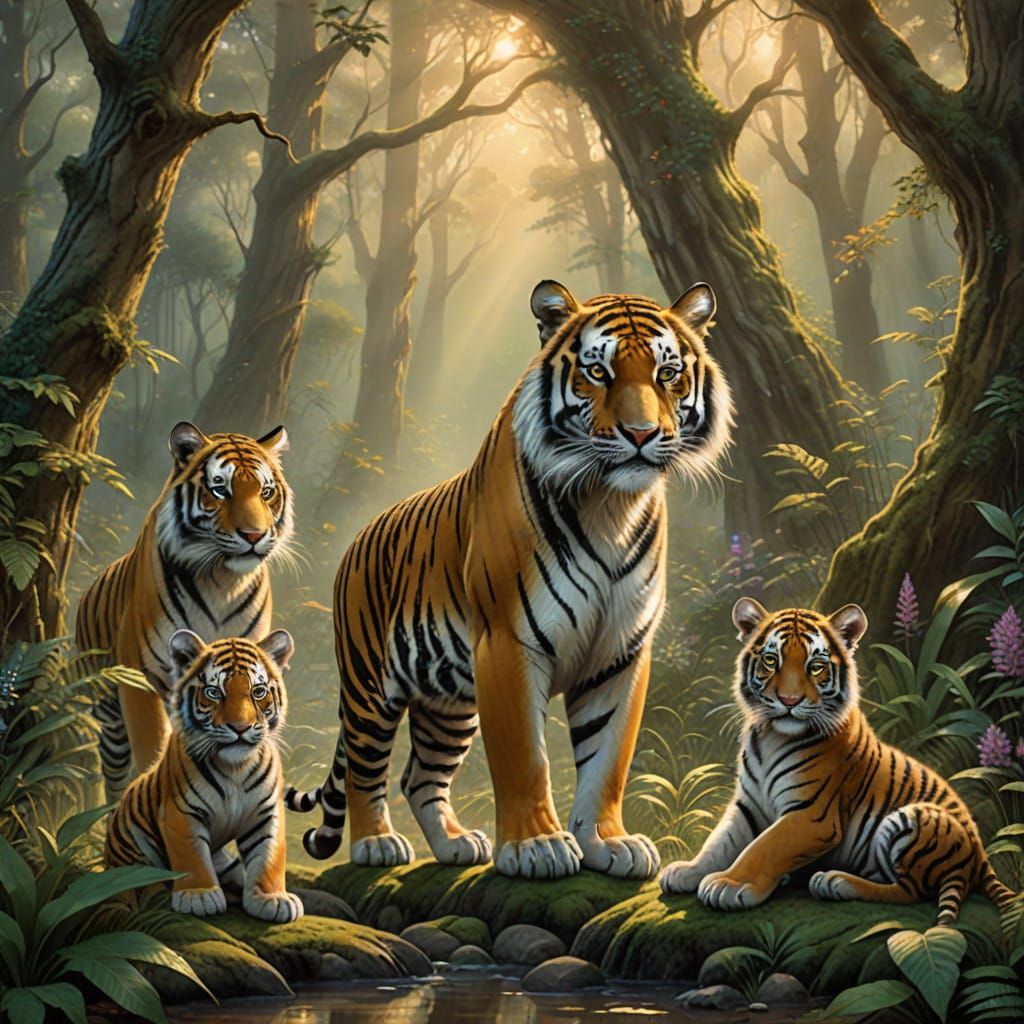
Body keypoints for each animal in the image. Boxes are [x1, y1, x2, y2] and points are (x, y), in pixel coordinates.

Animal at [76, 422, 293, 802]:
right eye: (220, 489)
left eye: (266, 492)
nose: (254, 535)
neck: (223, 580)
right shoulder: (141, 677)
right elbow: (151, 752)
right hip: (109, 714)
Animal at [105, 629, 303, 922]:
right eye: (214, 692)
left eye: (258, 692)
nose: (240, 728)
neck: (236, 768)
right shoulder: (180, 813)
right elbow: (191, 857)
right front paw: (199, 896)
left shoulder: (267, 812)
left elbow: (269, 856)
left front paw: (273, 899)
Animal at [286, 279, 733, 879]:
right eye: (599, 371)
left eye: (667, 373)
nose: (641, 434)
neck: (610, 505)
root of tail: (358, 538)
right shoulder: (509, 642)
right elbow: (525, 757)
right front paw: (536, 847)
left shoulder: (621, 651)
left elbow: (608, 759)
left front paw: (609, 843)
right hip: (369, 686)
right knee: (364, 769)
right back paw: (376, 844)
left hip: (449, 702)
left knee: (419, 776)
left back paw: (454, 844)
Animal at [660, 598, 1016, 925]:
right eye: (771, 661)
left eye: (815, 666)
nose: (789, 701)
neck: (772, 737)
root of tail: (981, 857)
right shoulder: (747, 804)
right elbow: (719, 841)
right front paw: (688, 870)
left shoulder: (812, 815)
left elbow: (764, 846)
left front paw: (729, 884)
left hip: (915, 817)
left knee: (909, 891)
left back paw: (834, 882)